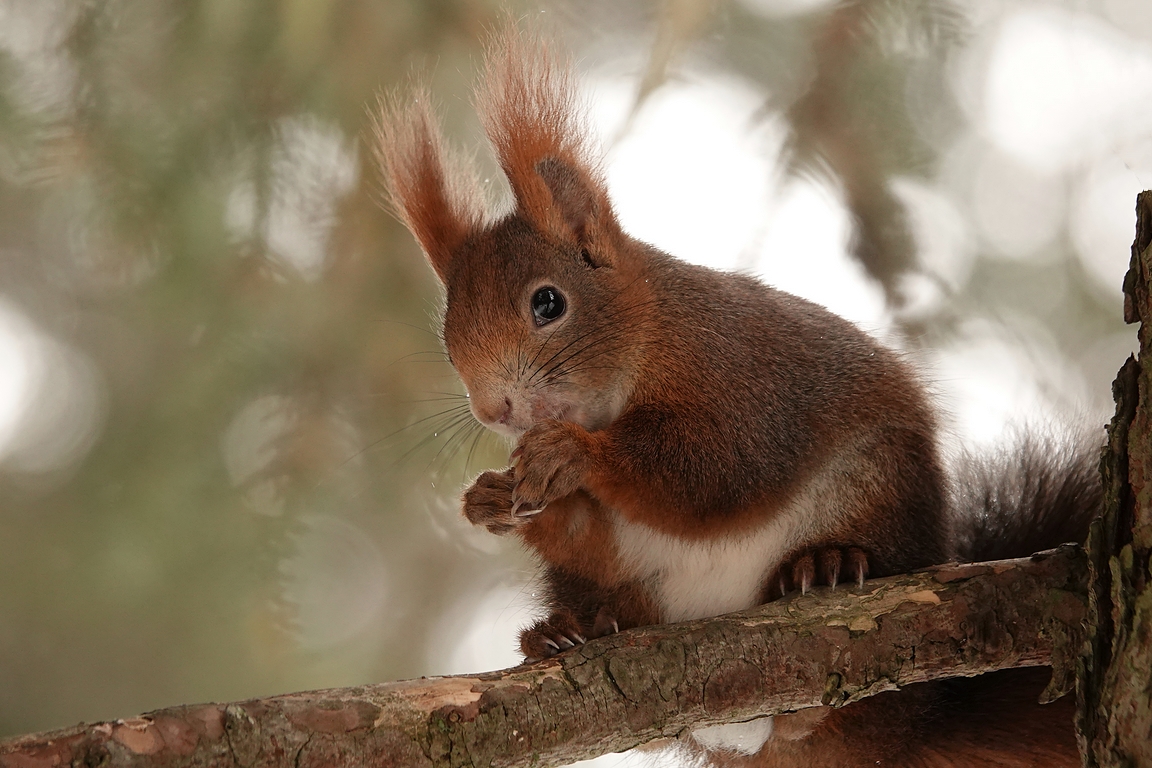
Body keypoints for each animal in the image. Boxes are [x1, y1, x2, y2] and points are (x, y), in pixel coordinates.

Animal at [373, 21, 1101, 768]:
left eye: (548, 303)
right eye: (448, 337)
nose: (494, 410)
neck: (649, 337)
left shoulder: (745, 380)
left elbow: (715, 476)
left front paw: (574, 454)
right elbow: (591, 535)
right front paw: (491, 498)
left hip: (878, 490)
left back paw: (828, 567)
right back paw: (566, 630)